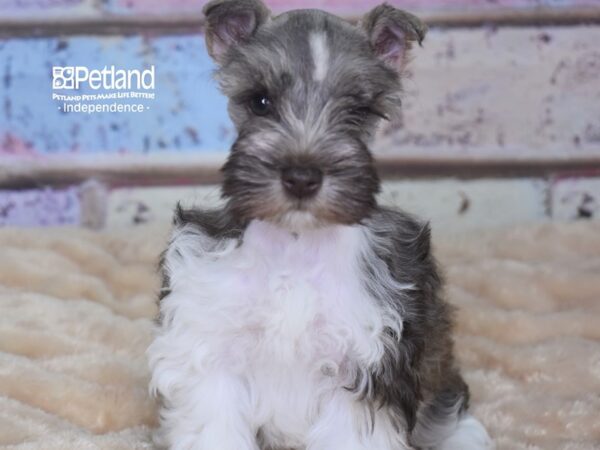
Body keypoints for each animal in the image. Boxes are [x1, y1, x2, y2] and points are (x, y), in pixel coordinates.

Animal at [149, 1, 492, 448]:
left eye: (358, 111)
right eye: (260, 102)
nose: (301, 177)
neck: (295, 243)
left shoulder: (363, 369)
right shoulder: (210, 353)